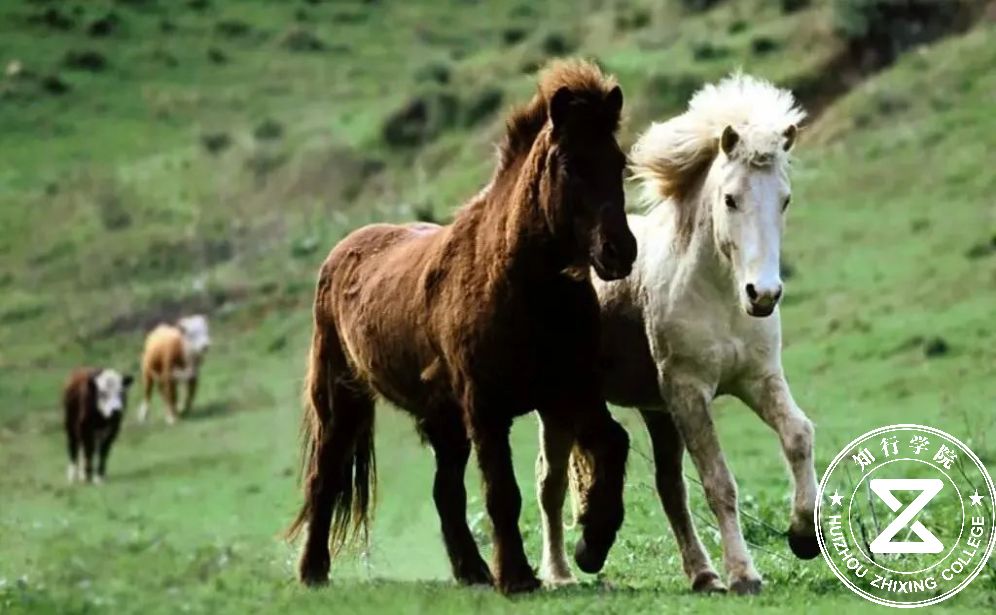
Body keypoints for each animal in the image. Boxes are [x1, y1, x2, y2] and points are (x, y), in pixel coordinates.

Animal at [286, 60, 640, 596]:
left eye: (618, 162)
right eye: (570, 165)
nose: (620, 251)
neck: (521, 285)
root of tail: (342, 250)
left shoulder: (570, 390)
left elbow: (612, 444)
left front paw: (591, 545)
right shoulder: (486, 407)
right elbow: (502, 493)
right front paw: (517, 578)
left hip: (443, 420)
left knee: (444, 491)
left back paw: (471, 571)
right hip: (341, 401)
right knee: (324, 479)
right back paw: (313, 572)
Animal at [536, 73, 816, 596]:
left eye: (785, 199)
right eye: (730, 198)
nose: (764, 294)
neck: (720, 296)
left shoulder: (758, 380)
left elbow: (798, 436)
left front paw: (803, 535)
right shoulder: (690, 391)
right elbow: (719, 482)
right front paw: (744, 574)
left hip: (657, 411)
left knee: (669, 487)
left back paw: (702, 574)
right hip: (562, 407)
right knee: (551, 482)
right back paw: (561, 574)